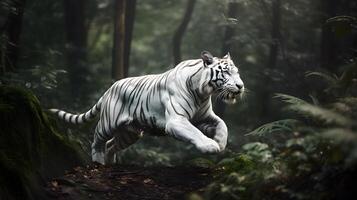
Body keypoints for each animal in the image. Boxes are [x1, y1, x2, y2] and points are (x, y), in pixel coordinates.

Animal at [49, 51, 242, 164]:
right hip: (107, 124)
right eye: (226, 72)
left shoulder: (204, 118)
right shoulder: (176, 120)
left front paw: (220, 143)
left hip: (130, 133)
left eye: (237, 72)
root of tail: (110, 89)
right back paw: (98, 162)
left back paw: (112, 164)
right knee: (97, 140)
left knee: (111, 145)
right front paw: (210, 146)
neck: (202, 93)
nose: (240, 86)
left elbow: (223, 125)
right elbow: (194, 132)